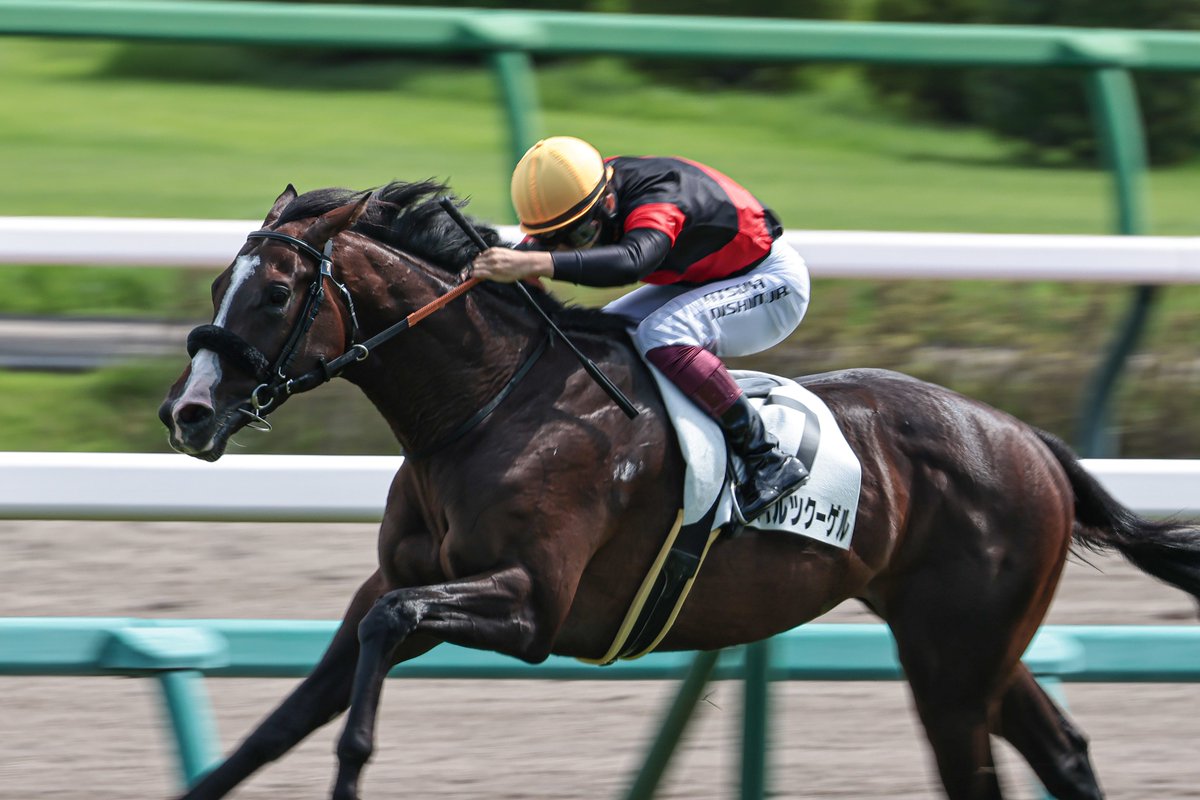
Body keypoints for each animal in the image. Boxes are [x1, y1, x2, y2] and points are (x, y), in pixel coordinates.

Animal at [159, 181, 1200, 800]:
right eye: (216, 285)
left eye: (276, 293)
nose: (188, 413)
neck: (487, 404)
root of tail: (1028, 439)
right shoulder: (394, 583)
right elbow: (281, 720)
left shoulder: (532, 608)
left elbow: (380, 652)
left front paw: (352, 767)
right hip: (973, 641)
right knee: (1062, 752)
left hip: (952, 658)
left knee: (976, 772)